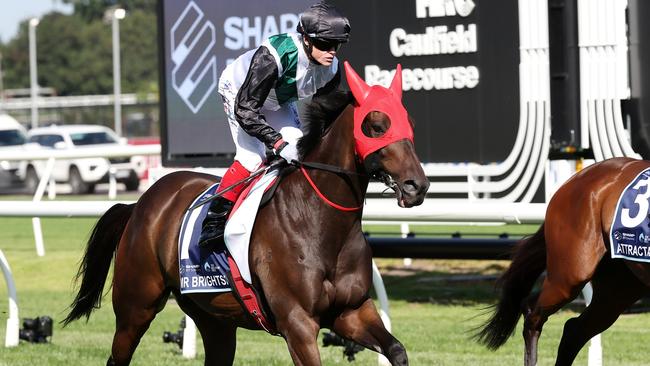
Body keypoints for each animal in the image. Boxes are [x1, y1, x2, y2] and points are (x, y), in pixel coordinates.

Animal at [63, 64, 428, 364]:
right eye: (376, 125)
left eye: (409, 123)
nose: (417, 186)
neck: (319, 222)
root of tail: (139, 205)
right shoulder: (297, 323)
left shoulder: (351, 311)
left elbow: (396, 349)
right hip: (136, 306)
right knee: (119, 355)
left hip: (213, 318)